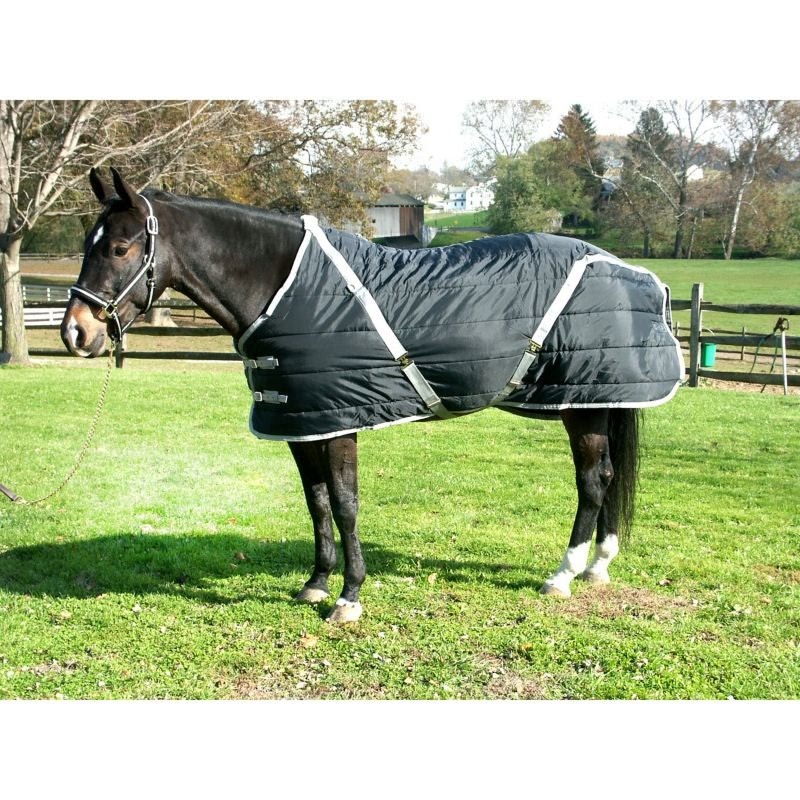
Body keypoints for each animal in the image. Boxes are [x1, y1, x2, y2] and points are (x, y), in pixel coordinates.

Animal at [61, 168, 683, 623]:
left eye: (120, 248)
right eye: (90, 244)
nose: (76, 333)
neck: (285, 286)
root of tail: (628, 270)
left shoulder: (339, 422)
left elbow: (345, 503)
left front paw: (349, 597)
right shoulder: (302, 422)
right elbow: (316, 503)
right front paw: (316, 583)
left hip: (582, 405)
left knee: (593, 481)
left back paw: (564, 574)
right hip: (600, 401)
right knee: (608, 478)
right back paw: (598, 565)